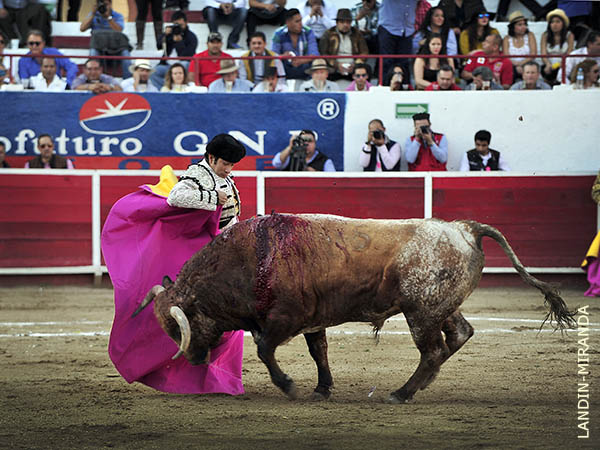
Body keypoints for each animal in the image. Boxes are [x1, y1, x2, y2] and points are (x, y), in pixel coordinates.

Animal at [134, 213, 576, 403]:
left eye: (179, 327)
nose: (193, 360)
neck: (250, 258)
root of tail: (463, 228)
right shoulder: (312, 320)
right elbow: (320, 351)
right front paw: (322, 388)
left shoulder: (284, 319)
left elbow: (264, 350)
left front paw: (290, 386)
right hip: (439, 307)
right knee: (459, 334)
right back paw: (421, 385)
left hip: (420, 313)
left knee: (433, 348)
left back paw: (401, 393)